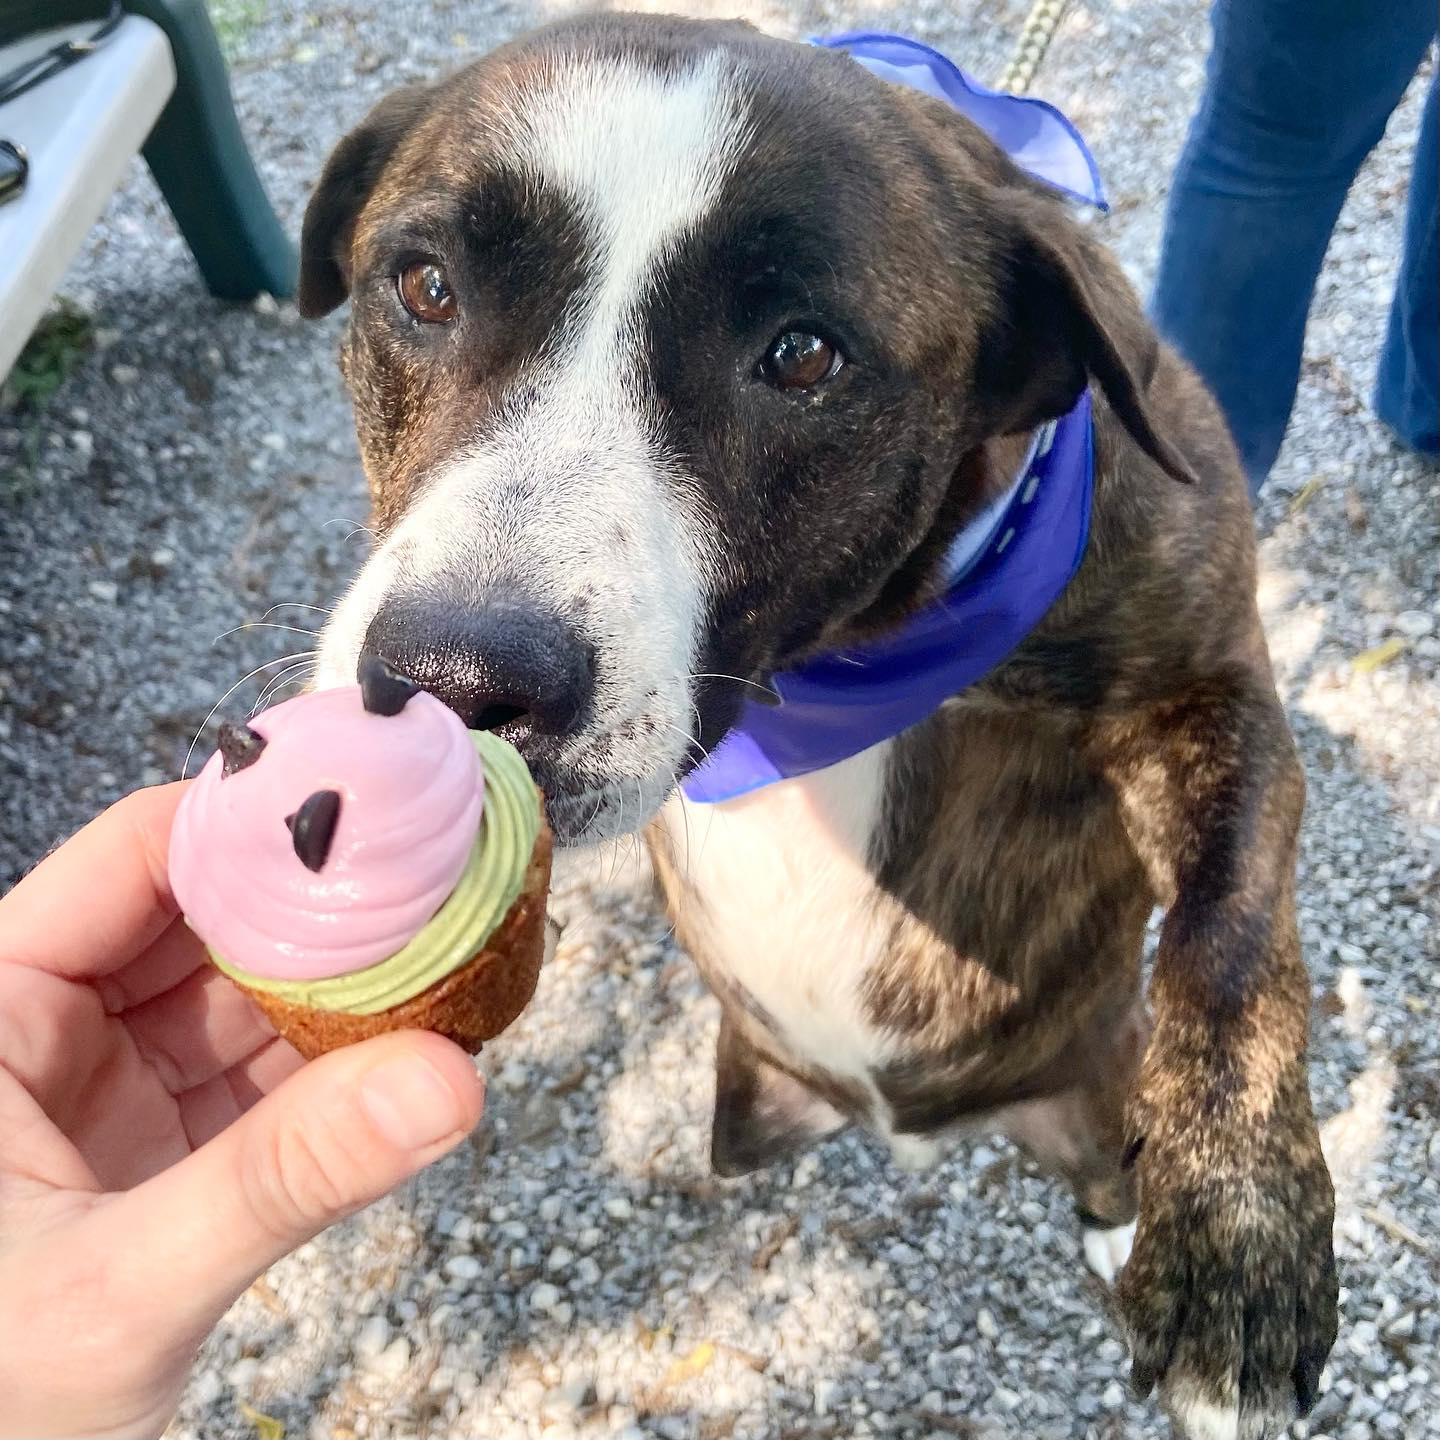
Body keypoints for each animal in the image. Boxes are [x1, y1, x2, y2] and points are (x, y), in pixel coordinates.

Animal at [300, 14, 1336, 1440]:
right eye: (425, 287)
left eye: (802, 357)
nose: (450, 678)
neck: (833, 668)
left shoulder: (1204, 682)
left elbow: (1230, 940)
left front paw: (1239, 1237)